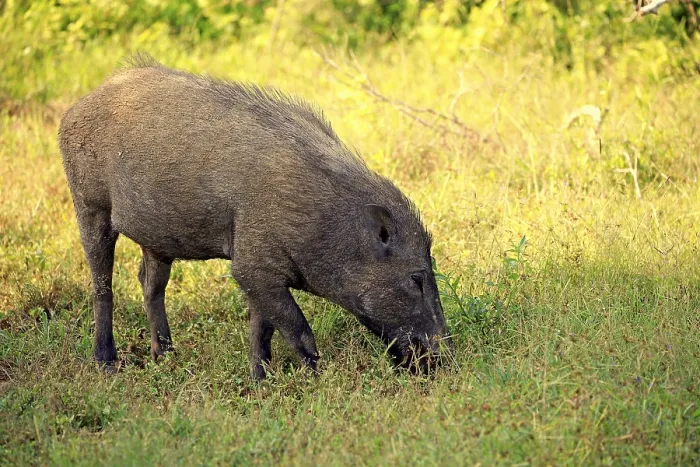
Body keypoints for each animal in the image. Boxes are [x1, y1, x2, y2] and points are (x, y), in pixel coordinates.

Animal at [58, 54, 450, 380]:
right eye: (416, 278)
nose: (445, 358)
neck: (319, 218)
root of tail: (76, 107)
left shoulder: (261, 272)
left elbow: (262, 327)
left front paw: (261, 381)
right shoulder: (252, 266)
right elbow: (297, 328)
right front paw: (316, 378)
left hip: (156, 241)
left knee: (149, 283)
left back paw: (165, 357)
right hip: (89, 206)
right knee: (102, 284)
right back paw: (107, 364)